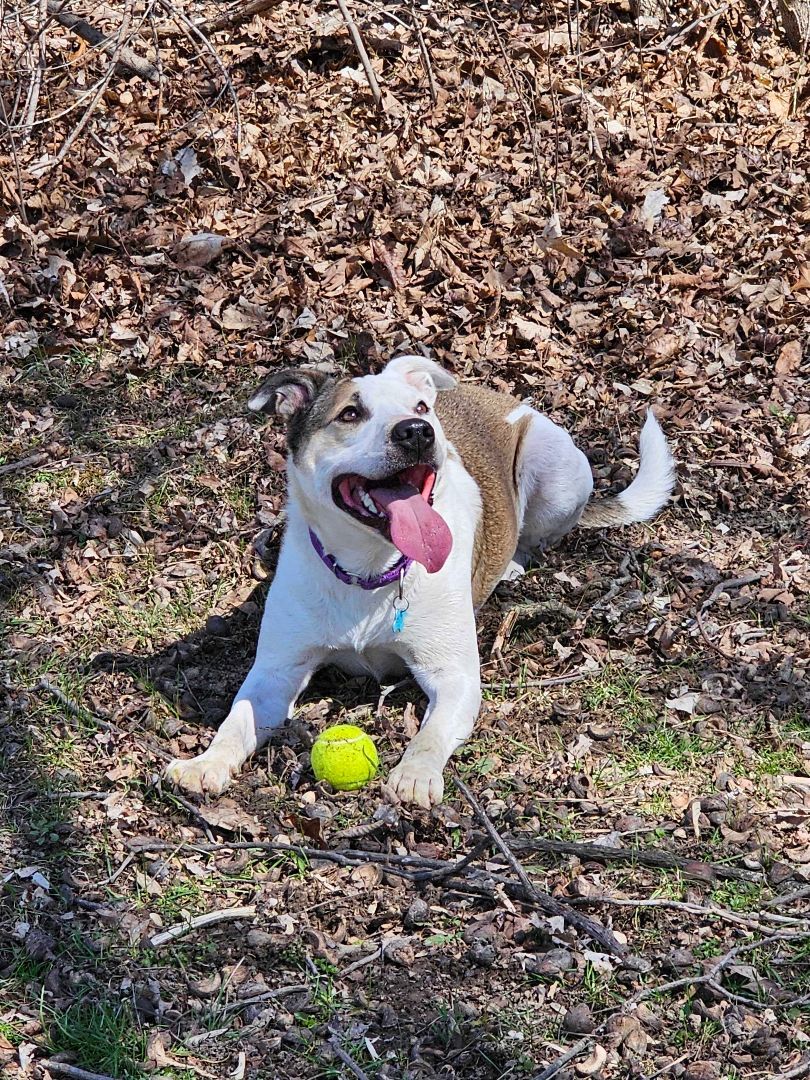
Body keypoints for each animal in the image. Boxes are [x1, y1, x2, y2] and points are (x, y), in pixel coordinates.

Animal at [163, 358, 673, 807]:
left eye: (420, 408)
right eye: (350, 413)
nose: (416, 431)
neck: (370, 571)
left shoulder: (453, 676)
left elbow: (430, 734)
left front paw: (414, 775)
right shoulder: (275, 671)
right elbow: (238, 717)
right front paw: (205, 763)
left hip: (557, 468)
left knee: (535, 536)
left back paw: (511, 564)